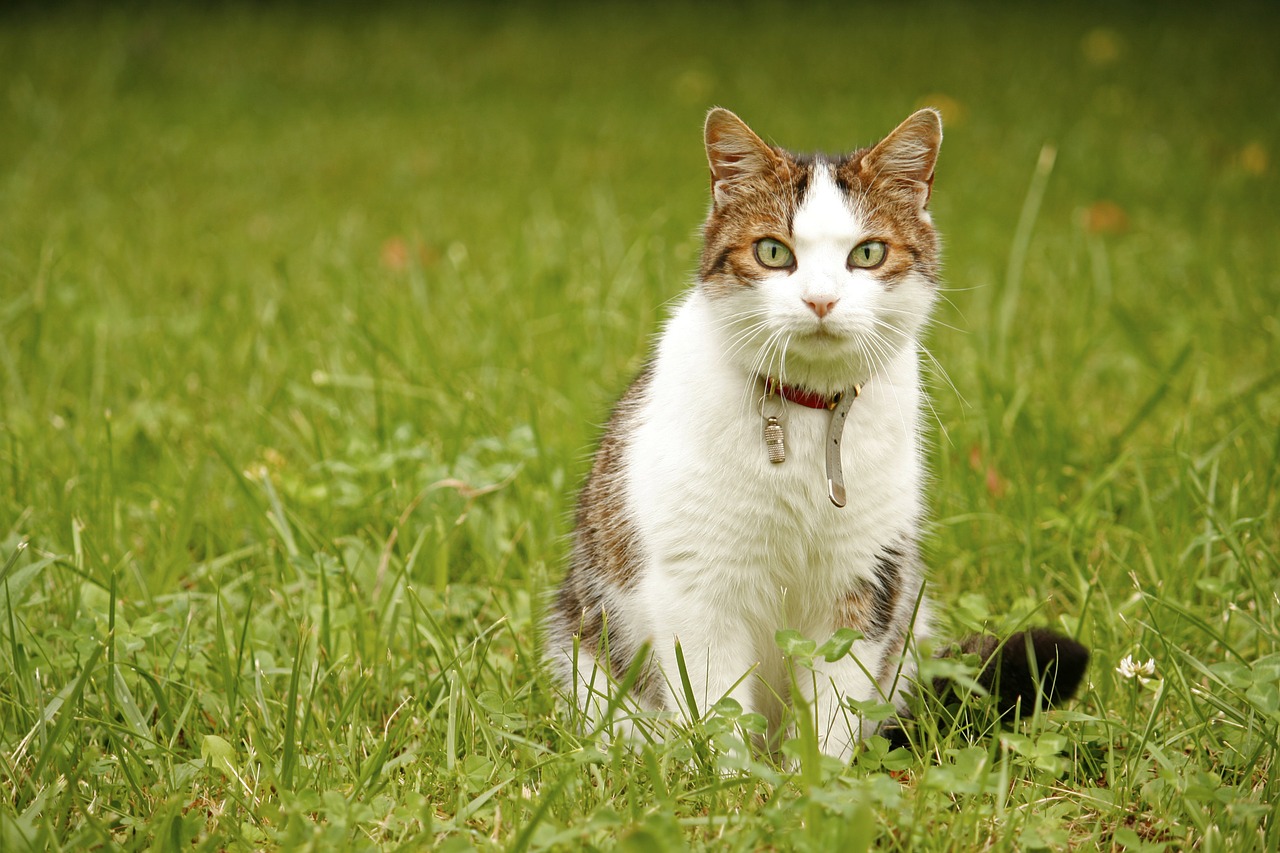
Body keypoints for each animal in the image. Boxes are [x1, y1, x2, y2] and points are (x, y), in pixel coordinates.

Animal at [545, 108, 1085, 758]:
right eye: (773, 251)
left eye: (869, 252)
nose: (821, 300)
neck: (806, 416)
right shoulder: (699, 586)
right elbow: (718, 705)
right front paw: (729, 779)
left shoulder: (865, 582)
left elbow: (836, 708)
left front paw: (823, 777)